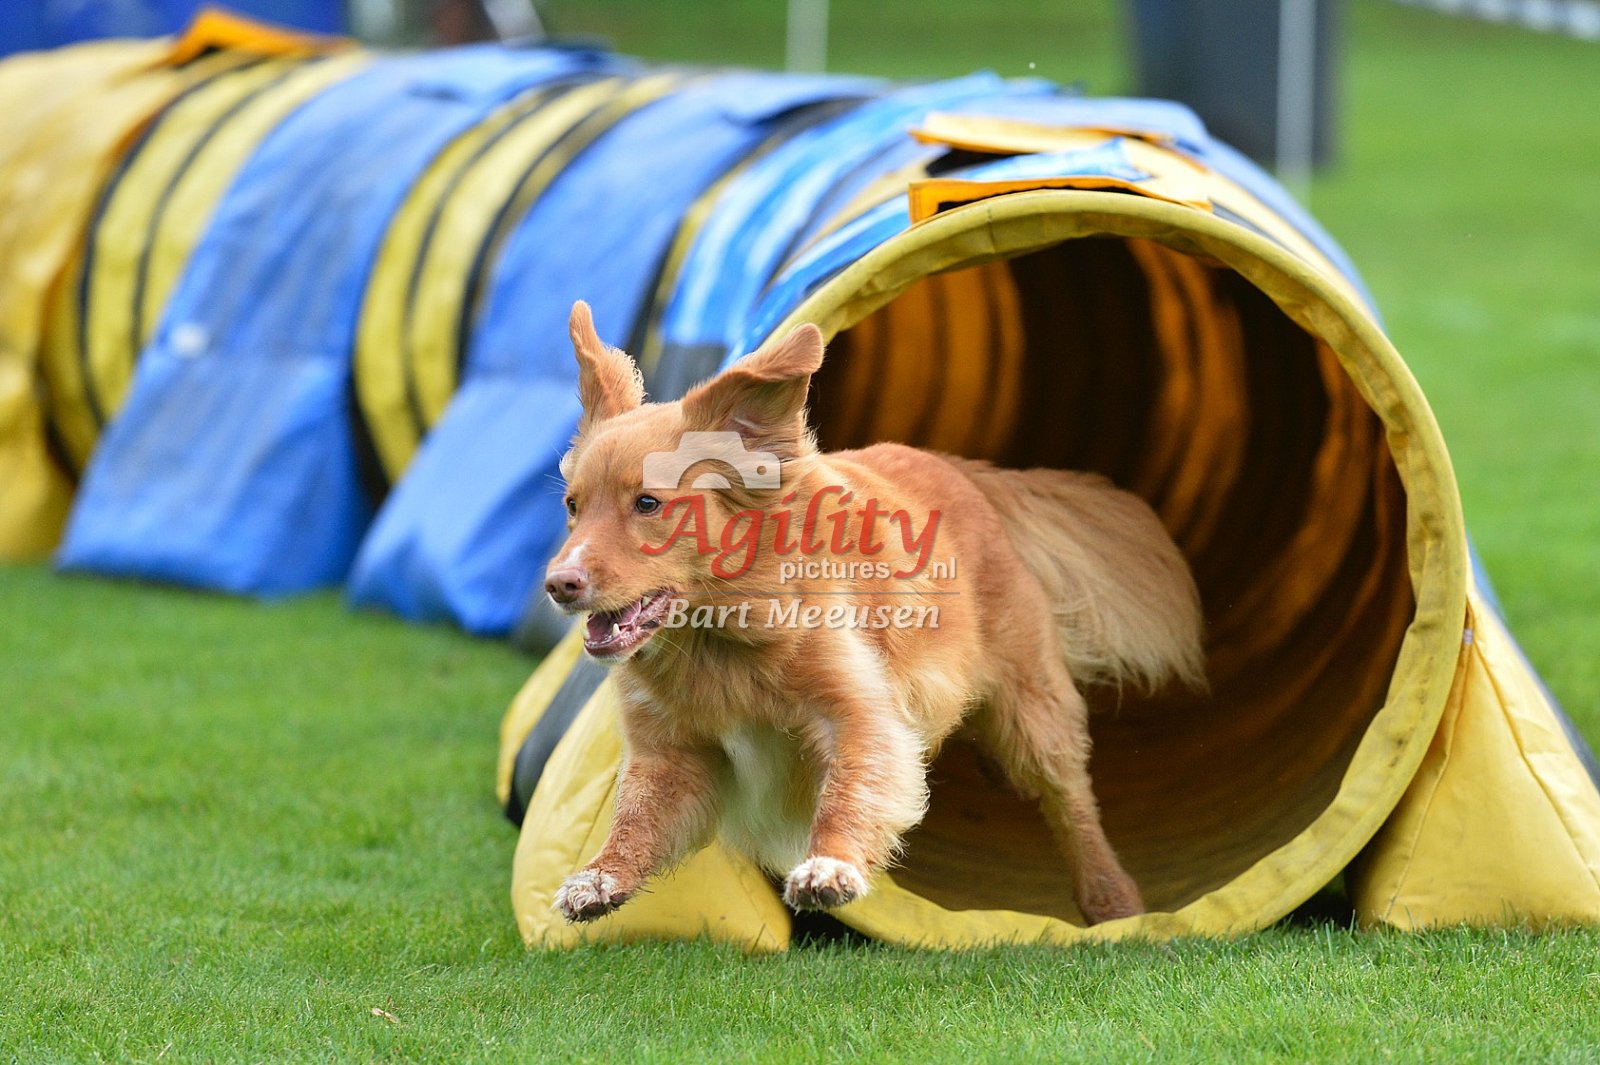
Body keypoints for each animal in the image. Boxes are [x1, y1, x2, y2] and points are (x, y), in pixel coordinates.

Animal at [545, 300, 1205, 926]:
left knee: (1070, 798)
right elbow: (635, 816)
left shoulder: (860, 712)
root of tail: (969, 474)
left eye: (648, 503)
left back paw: (1110, 897)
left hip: (1032, 707)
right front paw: (599, 878)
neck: (722, 641)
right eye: (573, 506)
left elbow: (852, 788)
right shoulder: (669, 751)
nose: (558, 584)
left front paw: (830, 867)